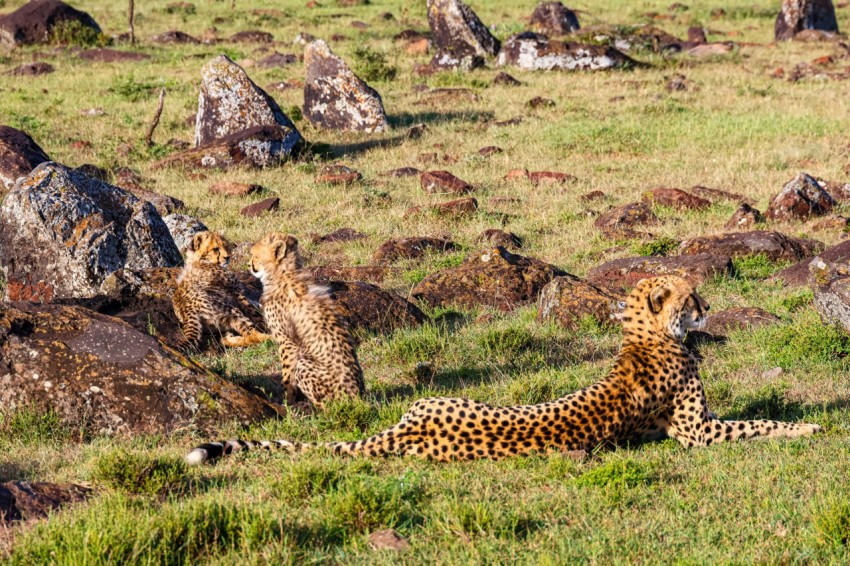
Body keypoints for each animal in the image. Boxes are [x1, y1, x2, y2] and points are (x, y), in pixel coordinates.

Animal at [184, 276, 816, 466]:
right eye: (689, 295)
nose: (706, 307)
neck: (646, 334)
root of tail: (408, 428)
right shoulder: (696, 431)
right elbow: (760, 423)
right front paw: (809, 428)